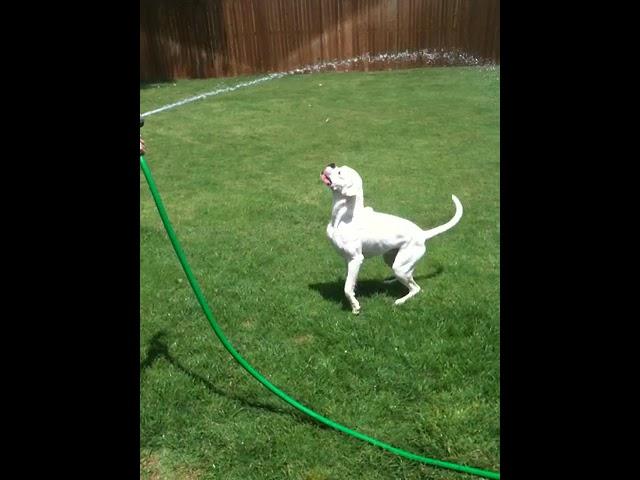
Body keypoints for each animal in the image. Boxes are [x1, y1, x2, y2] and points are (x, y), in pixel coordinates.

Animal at [318, 164, 460, 316]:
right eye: (338, 167)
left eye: (339, 172)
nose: (331, 164)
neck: (344, 216)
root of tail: (422, 234)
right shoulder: (348, 259)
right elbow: (350, 282)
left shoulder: (356, 259)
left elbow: (347, 288)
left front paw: (355, 307)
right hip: (391, 259)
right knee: (409, 276)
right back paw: (390, 281)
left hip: (400, 267)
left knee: (415, 288)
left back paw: (400, 301)